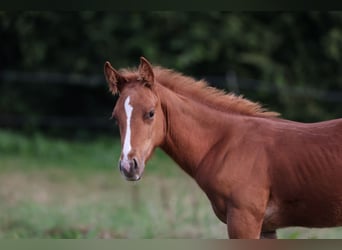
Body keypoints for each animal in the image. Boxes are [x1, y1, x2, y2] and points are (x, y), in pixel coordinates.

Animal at [103, 56, 342, 238]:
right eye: (115, 117)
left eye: (151, 113)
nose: (128, 166)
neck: (223, 143)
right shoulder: (266, 226)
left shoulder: (243, 219)